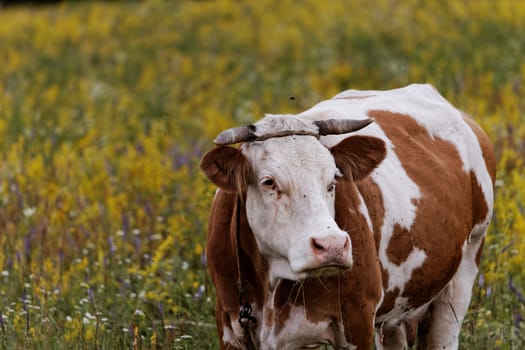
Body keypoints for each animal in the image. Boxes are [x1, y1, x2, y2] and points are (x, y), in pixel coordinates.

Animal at [199, 85, 494, 350]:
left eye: (333, 180)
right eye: (269, 182)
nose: (331, 245)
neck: (271, 286)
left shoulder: (359, 319)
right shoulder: (229, 325)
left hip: (461, 276)